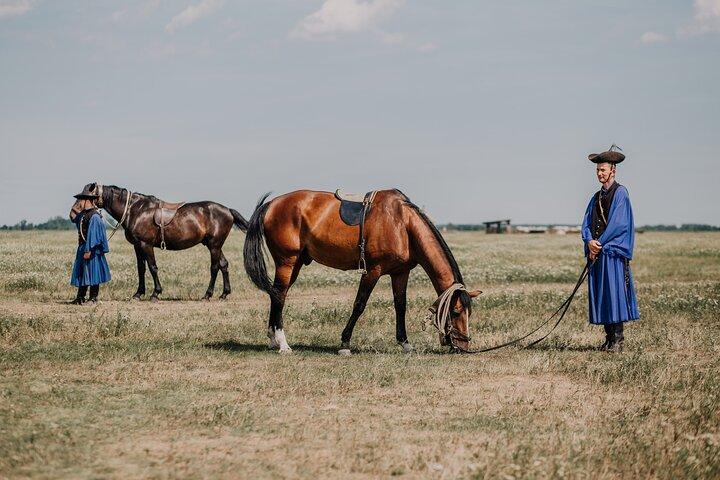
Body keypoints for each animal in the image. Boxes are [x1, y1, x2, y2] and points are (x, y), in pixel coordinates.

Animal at [69, 183, 249, 301]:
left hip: (214, 245)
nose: (72, 214)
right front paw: (138, 294)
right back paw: (224, 294)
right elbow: (141, 269)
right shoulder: (137, 246)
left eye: (84, 197)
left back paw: (207, 294)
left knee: (215, 267)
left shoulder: (146, 245)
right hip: (215, 245)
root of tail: (228, 210)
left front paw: (155, 293)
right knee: (224, 265)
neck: (135, 210)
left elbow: (152, 267)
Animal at [243, 189, 481, 354]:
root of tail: (272, 204)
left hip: (296, 263)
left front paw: (405, 344)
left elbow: (400, 306)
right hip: (287, 262)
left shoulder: (400, 273)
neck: (403, 225)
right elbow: (359, 305)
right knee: (279, 296)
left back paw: (273, 339)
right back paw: (283, 344)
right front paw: (345, 343)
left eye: (469, 313)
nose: (463, 346)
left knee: (277, 294)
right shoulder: (372, 271)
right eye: (456, 312)